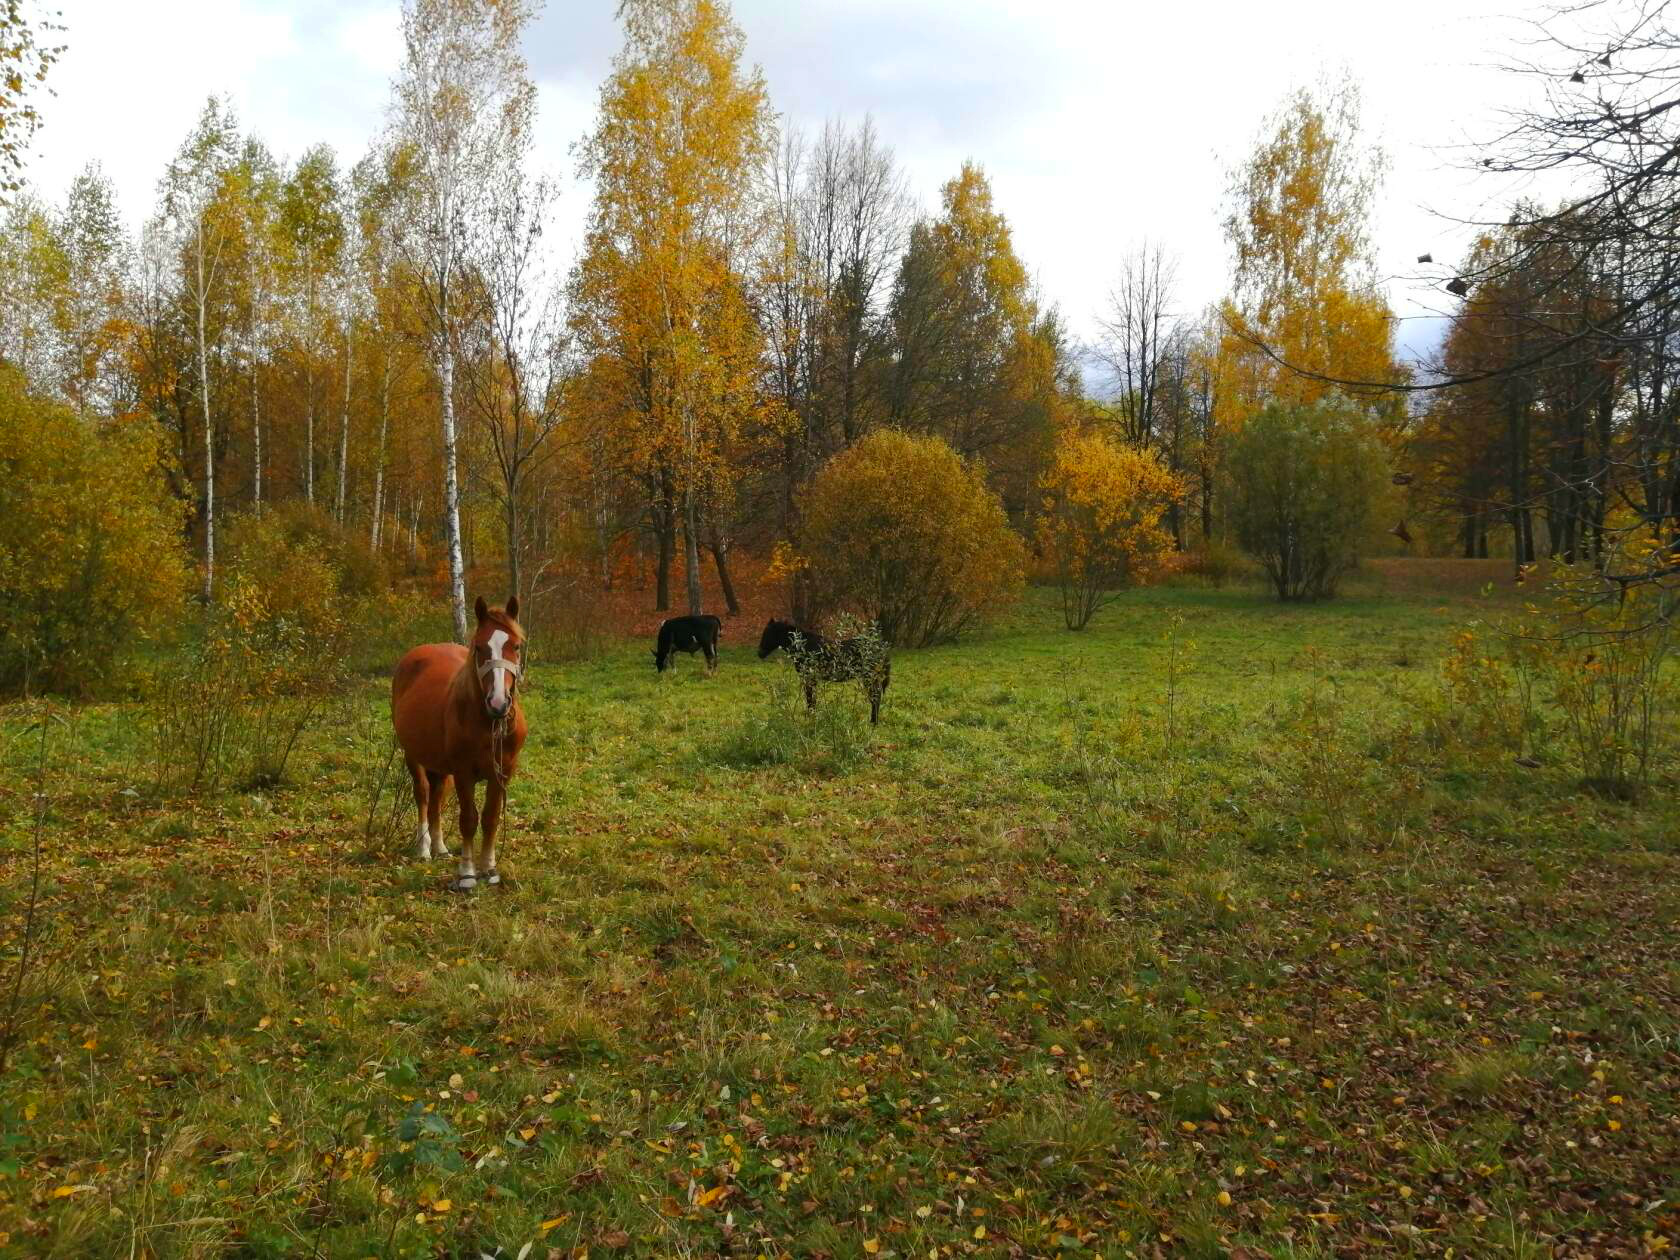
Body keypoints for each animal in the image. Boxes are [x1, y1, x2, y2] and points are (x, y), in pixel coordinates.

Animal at [391, 598, 527, 893]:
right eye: (479, 647)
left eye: (516, 646)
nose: (498, 703)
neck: (487, 723)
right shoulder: (464, 773)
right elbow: (468, 820)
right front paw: (467, 874)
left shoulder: (502, 773)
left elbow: (490, 818)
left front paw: (489, 869)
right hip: (413, 756)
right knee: (423, 795)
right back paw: (424, 848)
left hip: (440, 766)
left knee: (437, 797)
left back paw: (441, 847)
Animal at [759, 618, 893, 725]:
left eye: (768, 633)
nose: (759, 653)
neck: (804, 646)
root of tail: (880, 646)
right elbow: (812, 699)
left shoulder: (809, 677)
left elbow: (810, 699)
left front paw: (811, 718)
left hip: (869, 676)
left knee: (876, 696)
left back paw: (874, 722)